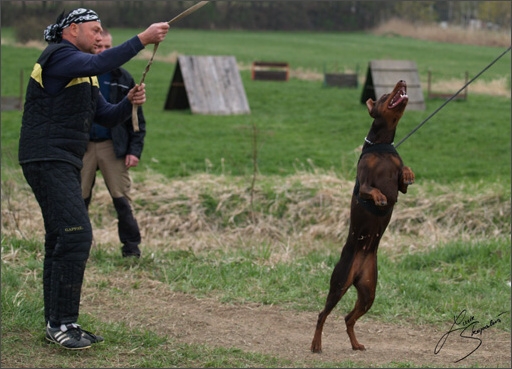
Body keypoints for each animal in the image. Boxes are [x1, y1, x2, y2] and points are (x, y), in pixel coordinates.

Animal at [310, 80, 414, 350]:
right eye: (385, 95)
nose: (402, 81)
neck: (382, 146)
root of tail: (357, 270)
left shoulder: (400, 185)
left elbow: (404, 178)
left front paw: (409, 173)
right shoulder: (363, 183)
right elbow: (370, 189)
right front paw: (380, 198)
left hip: (369, 291)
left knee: (348, 317)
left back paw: (356, 344)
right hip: (339, 283)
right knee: (322, 314)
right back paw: (316, 345)